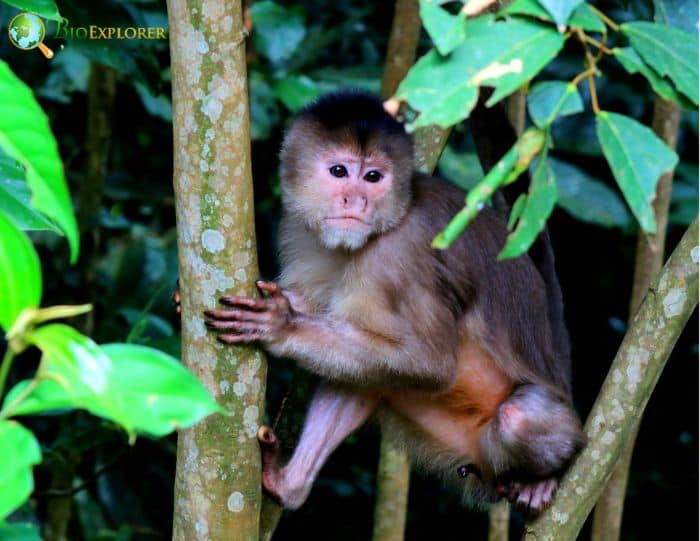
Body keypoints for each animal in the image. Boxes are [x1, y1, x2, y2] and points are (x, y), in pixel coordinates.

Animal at [204, 89, 584, 516]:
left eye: (373, 177)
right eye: (339, 172)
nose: (356, 200)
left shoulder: (400, 256)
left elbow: (430, 363)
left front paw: (281, 326)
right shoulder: (298, 228)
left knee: (519, 417)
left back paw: (542, 478)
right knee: (364, 374)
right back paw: (290, 485)